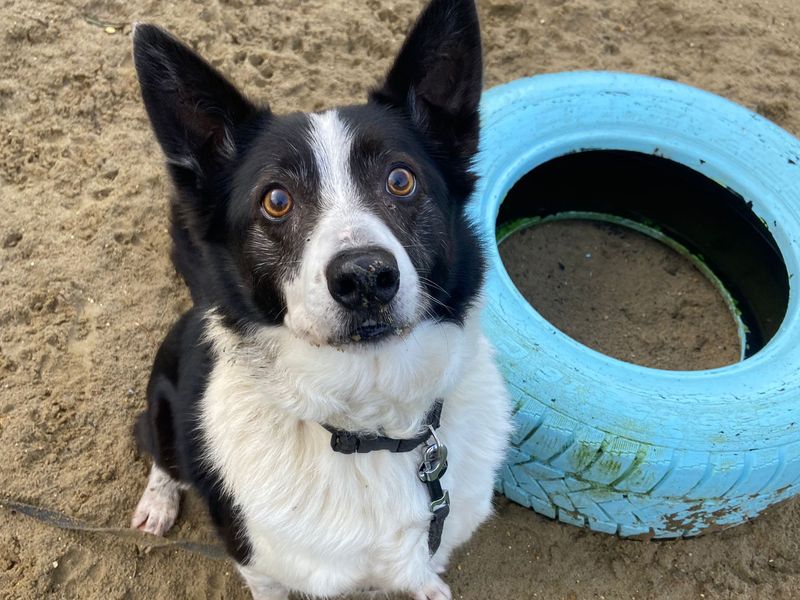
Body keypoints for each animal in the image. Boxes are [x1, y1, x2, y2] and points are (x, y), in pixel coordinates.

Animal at [129, 2, 510, 596]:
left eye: (401, 180)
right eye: (276, 200)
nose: (365, 277)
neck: (370, 432)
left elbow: (421, 567)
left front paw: (426, 585)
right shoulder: (261, 566)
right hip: (162, 409)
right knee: (159, 453)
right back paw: (158, 502)